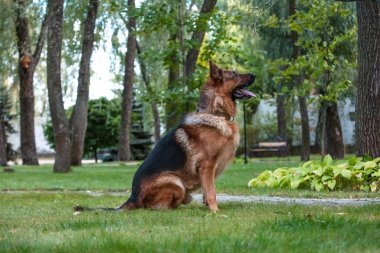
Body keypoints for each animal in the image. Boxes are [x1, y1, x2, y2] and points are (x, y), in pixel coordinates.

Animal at [74, 61, 255, 213]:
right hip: (175, 182)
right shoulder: (207, 166)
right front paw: (215, 212)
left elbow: (207, 191)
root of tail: (132, 196)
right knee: (154, 208)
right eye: (235, 74)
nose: (254, 74)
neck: (216, 114)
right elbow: (211, 192)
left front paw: (208, 208)